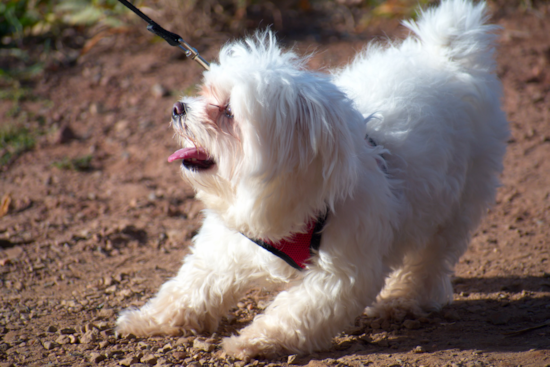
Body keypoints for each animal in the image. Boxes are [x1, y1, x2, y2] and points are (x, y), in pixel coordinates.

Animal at [118, 0, 512, 360]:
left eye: (228, 112)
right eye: (206, 93)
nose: (178, 108)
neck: (279, 193)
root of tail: (449, 58)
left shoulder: (339, 272)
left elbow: (295, 313)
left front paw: (251, 341)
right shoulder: (227, 247)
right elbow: (189, 290)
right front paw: (146, 319)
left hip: (457, 203)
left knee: (429, 260)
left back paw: (401, 300)